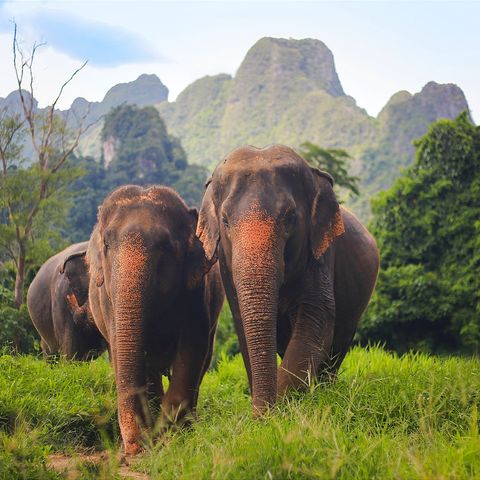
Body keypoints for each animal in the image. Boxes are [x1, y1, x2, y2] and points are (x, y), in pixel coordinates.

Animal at [86, 184, 225, 454]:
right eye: (107, 244)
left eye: (166, 246)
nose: (132, 449)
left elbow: (192, 349)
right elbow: (123, 351)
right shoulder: (108, 300)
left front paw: (168, 435)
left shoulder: (196, 291)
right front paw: (154, 436)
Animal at [197, 144, 380, 414]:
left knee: (337, 345)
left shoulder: (321, 252)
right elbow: (243, 328)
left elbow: (317, 319)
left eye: (291, 217)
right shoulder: (225, 267)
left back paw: (324, 391)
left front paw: (281, 408)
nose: (260, 416)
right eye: (225, 220)